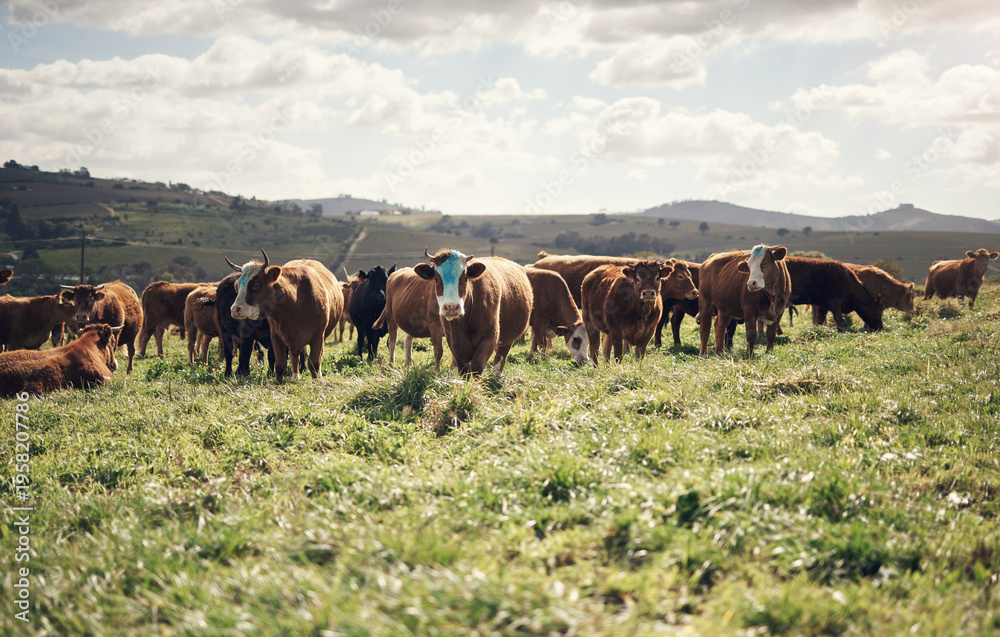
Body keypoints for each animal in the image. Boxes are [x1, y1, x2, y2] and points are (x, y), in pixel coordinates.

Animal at [227, 250, 342, 383]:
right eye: (237, 286)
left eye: (255, 285)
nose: (235, 309)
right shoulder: (276, 337)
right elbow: (280, 364)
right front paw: (278, 383)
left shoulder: (318, 336)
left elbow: (314, 363)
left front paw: (317, 381)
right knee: (294, 357)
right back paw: (296, 376)